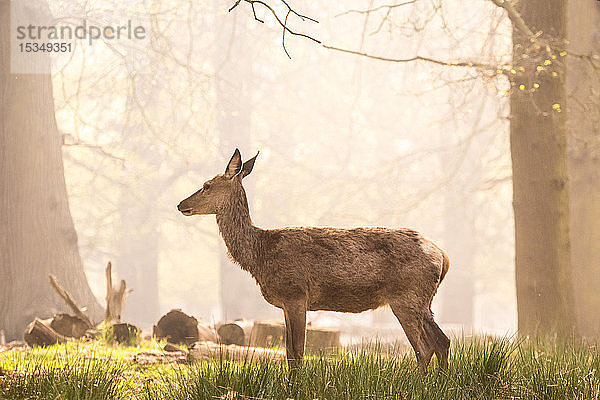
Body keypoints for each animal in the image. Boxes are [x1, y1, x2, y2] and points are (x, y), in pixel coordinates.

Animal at [178, 150, 450, 372]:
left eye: (206, 185)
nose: (181, 204)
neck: (260, 256)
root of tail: (443, 257)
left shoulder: (295, 293)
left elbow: (298, 352)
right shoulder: (287, 302)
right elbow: (290, 353)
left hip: (406, 296)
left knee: (424, 348)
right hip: (423, 301)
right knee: (442, 341)